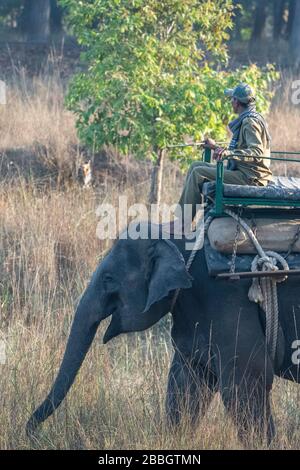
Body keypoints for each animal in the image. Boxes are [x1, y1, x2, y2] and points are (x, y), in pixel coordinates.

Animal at [25, 222, 300, 442]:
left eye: (108, 279)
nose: (32, 433)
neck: (177, 237)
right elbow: (185, 384)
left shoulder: (228, 301)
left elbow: (245, 382)